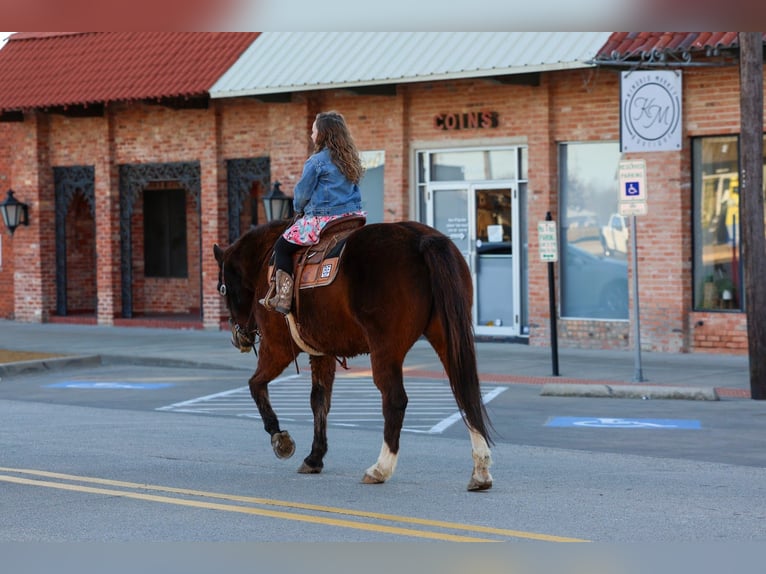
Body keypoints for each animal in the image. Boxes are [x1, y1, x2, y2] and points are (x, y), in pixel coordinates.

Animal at [213, 219, 494, 491]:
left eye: (222, 288)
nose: (238, 337)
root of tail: (421, 238)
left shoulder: (276, 348)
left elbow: (256, 385)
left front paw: (280, 439)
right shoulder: (322, 353)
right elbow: (319, 400)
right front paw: (314, 457)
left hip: (385, 349)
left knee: (395, 400)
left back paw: (380, 468)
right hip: (445, 336)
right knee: (464, 390)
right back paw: (480, 471)